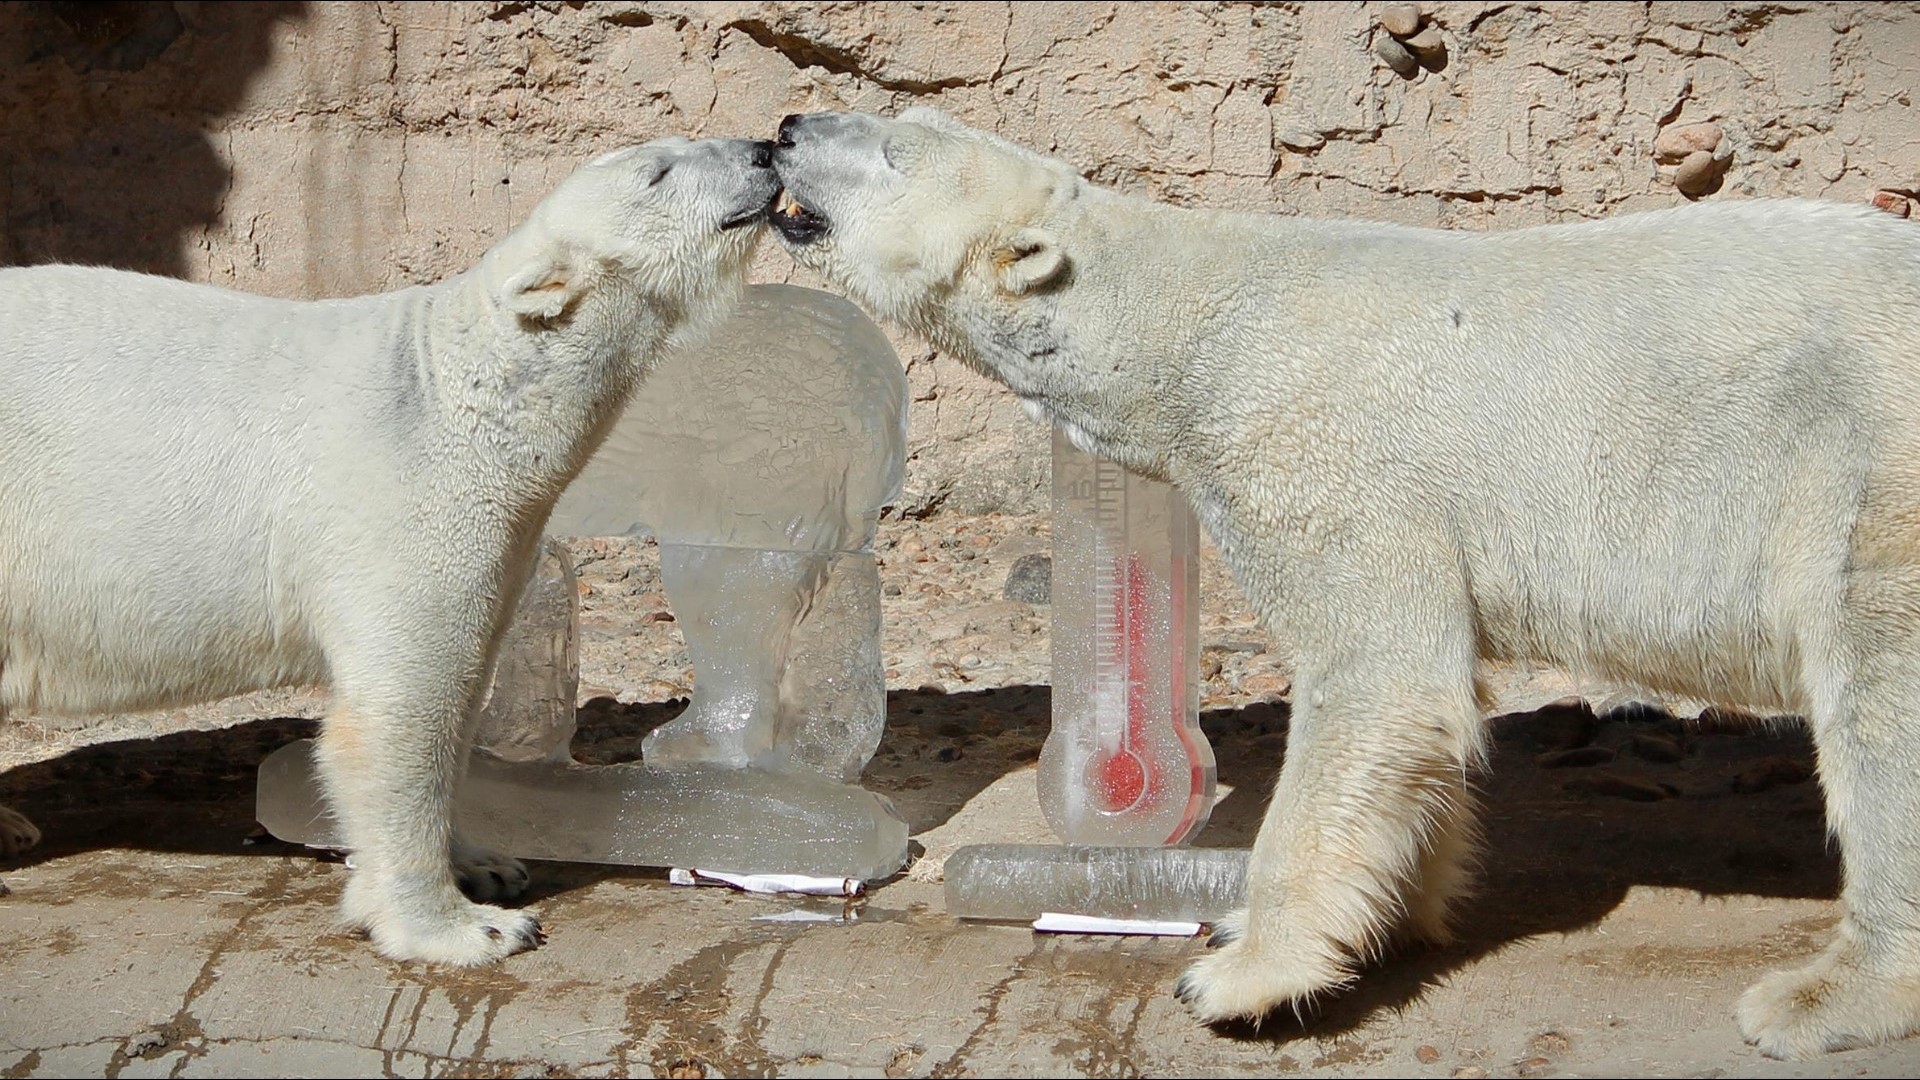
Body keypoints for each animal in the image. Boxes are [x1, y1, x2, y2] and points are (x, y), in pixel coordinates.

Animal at [0, 135, 777, 965]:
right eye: (657, 171)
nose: (766, 149)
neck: (454, 386)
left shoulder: (499, 531)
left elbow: (465, 691)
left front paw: (488, 863)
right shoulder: (397, 495)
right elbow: (400, 708)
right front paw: (467, 926)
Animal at [764, 106, 1920, 1059]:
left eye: (892, 145)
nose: (783, 126)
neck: (1197, 314)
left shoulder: (1317, 447)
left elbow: (1379, 674)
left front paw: (1236, 971)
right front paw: (1393, 916)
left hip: (1867, 470)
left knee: (1880, 699)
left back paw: (1818, 999)